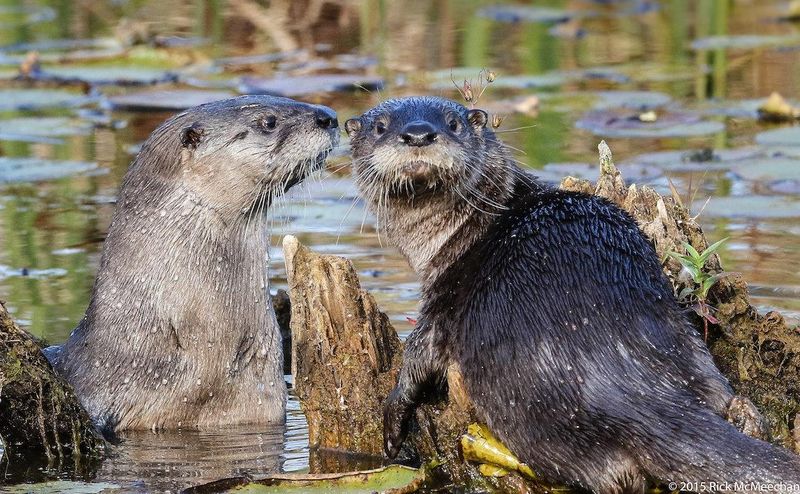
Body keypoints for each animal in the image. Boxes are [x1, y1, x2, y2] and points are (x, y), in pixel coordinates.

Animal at [344, 95, 800, 490]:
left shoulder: (444, 298)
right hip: (679, 335)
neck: (461, 232)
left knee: (612, 474)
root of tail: (621, 374)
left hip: (534, 407)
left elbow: (417, 359)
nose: (418, 134)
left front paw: (393, 422)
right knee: (726, 398)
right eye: (381, 127)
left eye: (453, 123)